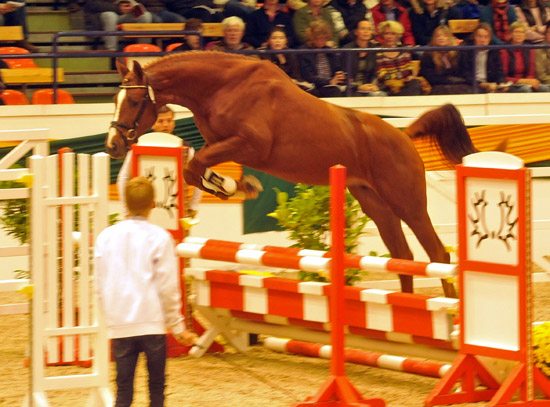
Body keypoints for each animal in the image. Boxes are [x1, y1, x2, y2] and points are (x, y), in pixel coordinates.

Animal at [106, 52, 478, 298]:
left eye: (135, 101)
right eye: (115, 98)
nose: (112, 145)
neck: (223, 87)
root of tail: (404, 135)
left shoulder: (250, 145)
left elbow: (194, 167)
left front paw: (238, 186)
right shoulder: (220, 144)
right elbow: (194, 169)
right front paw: (236, 186)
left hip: (407, 202)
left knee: (438, 255)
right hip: (375, 204)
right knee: (404, 257)